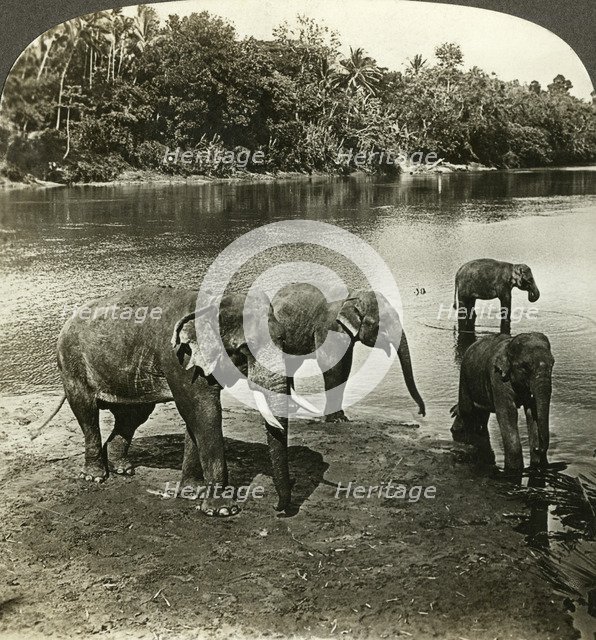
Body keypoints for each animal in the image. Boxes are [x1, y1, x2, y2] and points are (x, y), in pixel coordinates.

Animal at [46, 285, 308, 517]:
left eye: (284, 341)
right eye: (246, 349)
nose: (277, 508)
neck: (213, 301)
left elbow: (194, 417)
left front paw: (192, 493)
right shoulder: (178, 358)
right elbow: (202, 411)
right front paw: (222, 510)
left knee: (133, 415)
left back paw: (122, 468)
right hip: (72, 365)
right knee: (87, 412)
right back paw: (95, 475)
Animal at [269, 283, 426, 422]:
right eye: (381, 323)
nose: (421, 413)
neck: (353, 296)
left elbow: (345, 367)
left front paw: (342, 418)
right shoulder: (329, 327)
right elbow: (331, 366)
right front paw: (334, 419)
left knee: (291, 365)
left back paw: (291, 407)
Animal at [450, 332, 554, 476]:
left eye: (553, 364)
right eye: (525, 367)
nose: (537, 448)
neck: (509, 345)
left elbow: (532, 412)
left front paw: (537, 465)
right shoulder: (497, 377)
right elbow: (508, 412)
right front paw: (514, 471)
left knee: (482, 413)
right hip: (464, 376)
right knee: (467, 410)